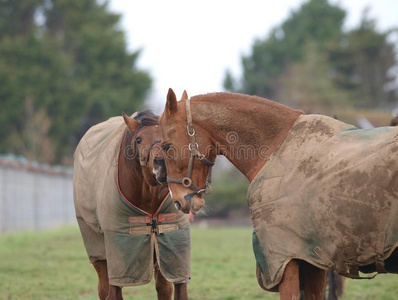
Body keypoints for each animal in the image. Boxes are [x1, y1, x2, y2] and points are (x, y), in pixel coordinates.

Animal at [73, 110, 191, 300]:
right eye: (139, 139)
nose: (162, 164)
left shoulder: (173, 254)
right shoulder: (119, 259)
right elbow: (113, 292)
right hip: (99, 252)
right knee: (103, 288)